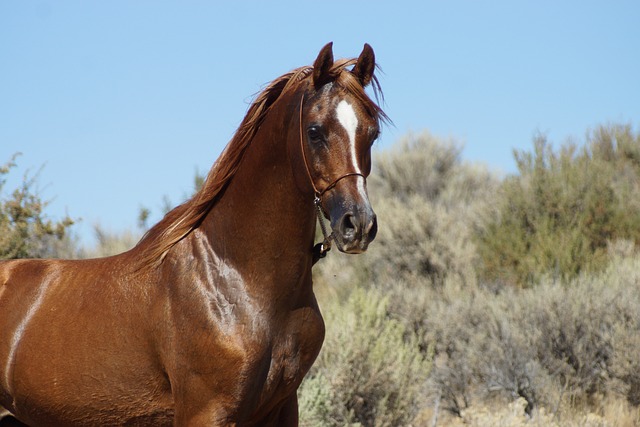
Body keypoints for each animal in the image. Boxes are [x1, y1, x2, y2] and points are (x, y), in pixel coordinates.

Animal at [0, 42, 388, 424]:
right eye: (314, 131)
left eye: (372, 133)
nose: (358, 225)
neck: (236, 278)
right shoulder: (205, 411)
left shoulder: (281, 410)